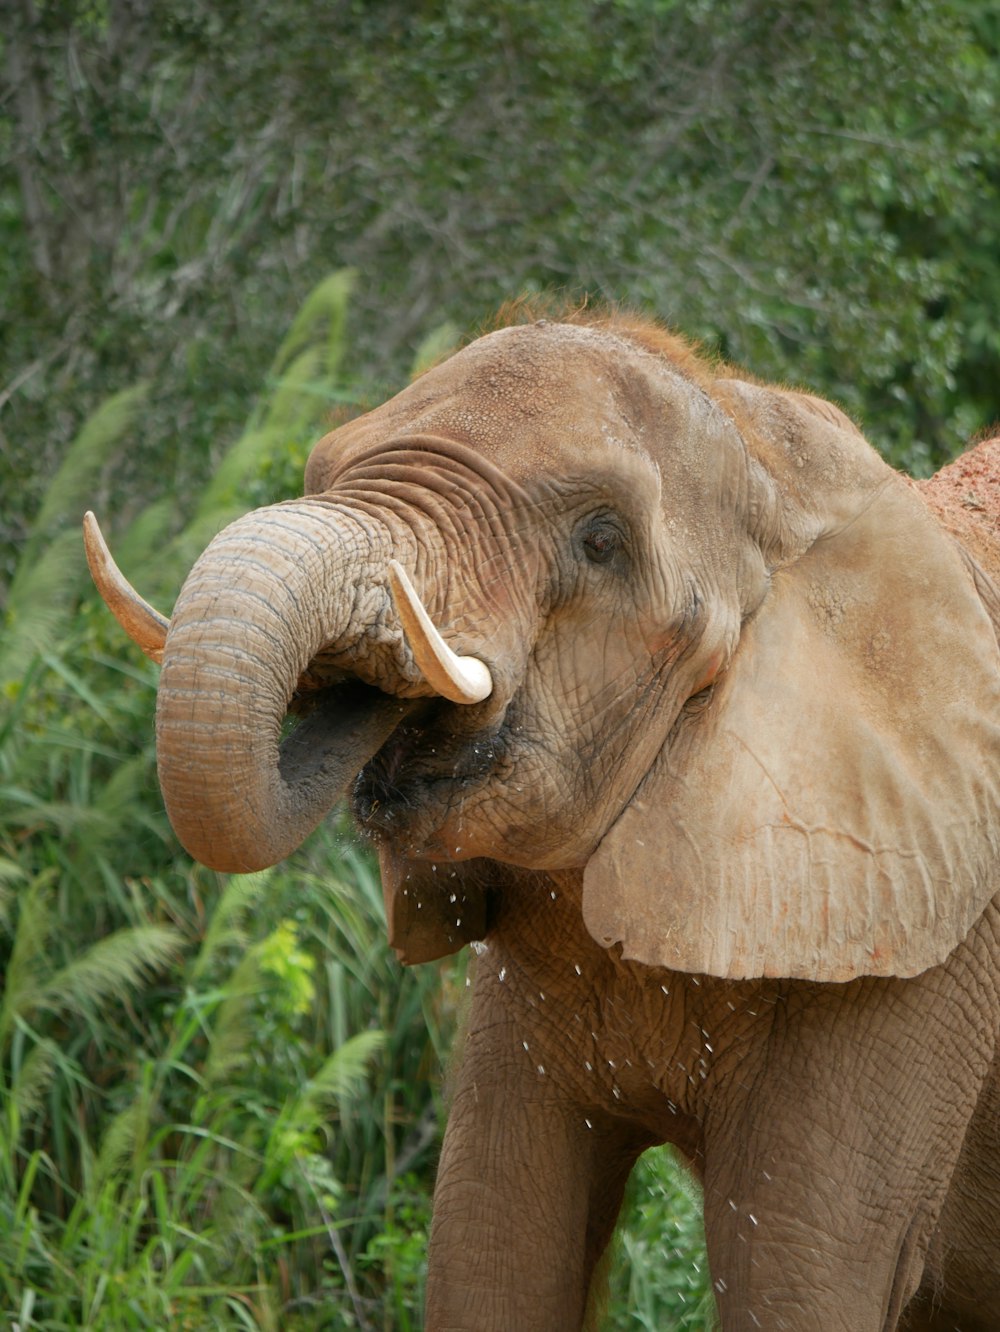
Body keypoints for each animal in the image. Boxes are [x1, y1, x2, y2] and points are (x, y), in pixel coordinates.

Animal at [85, 306, 1000, 1326]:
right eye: (322, 471)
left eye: (600, 540)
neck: (774, 464)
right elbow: (493, 1243)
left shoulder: (924, 944)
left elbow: (797, 1271)